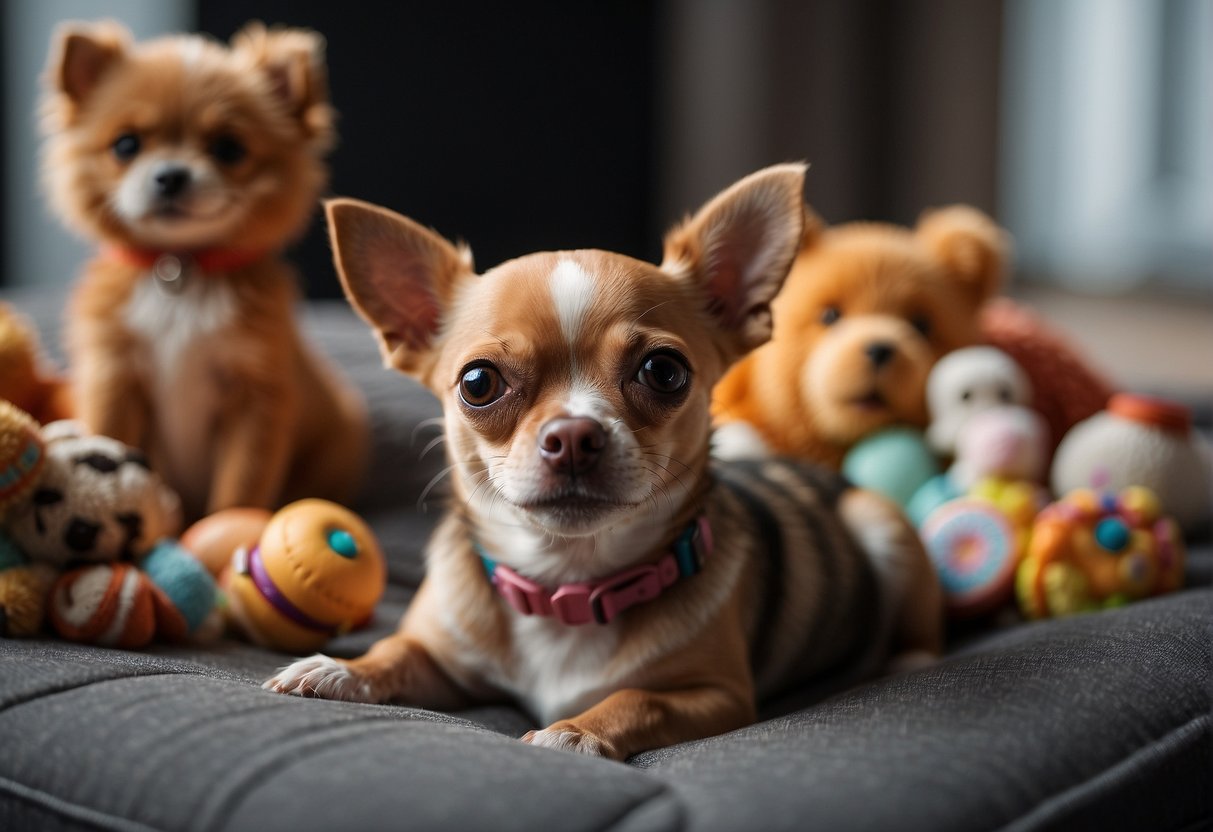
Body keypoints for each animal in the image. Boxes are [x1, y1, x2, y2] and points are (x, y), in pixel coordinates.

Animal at [41, 21, 363, 521]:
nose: (171, 175)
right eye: (126, 145)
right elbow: (112, 438)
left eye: (228, 148)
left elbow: (241, 486)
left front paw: (227, 528)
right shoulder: (115, 378)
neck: (180, 270)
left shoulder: (256, 399)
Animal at [270, 166, 941, 761]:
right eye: (478, 382)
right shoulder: (445, 662)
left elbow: (637, 699)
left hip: (880, 526)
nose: (573, 435)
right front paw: (341, 668)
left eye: (664, 372)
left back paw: (909, 657)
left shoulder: (717, 695)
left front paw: (574, 731)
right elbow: (399, 653)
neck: (568, 581)